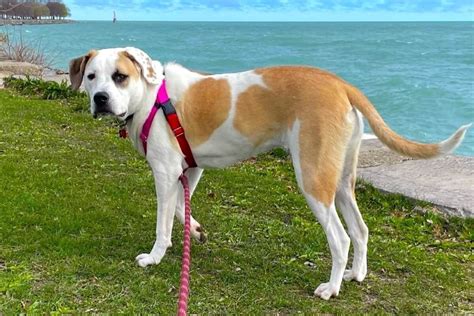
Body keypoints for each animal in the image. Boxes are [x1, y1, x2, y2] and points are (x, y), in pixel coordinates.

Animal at [69, 47, 470, 302]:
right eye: (91, 77)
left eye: (120, 77)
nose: (100, 99)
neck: (153, 98)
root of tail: (339, 84)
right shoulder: (190, 168)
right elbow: (184, 208)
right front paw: (195, 230)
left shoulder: (166, 173)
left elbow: (164, 224)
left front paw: (154, 257)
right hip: (340, 179)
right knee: (360, 229)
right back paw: (355, 275)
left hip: (313, 177)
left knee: (340, 238)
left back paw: (331, 288)